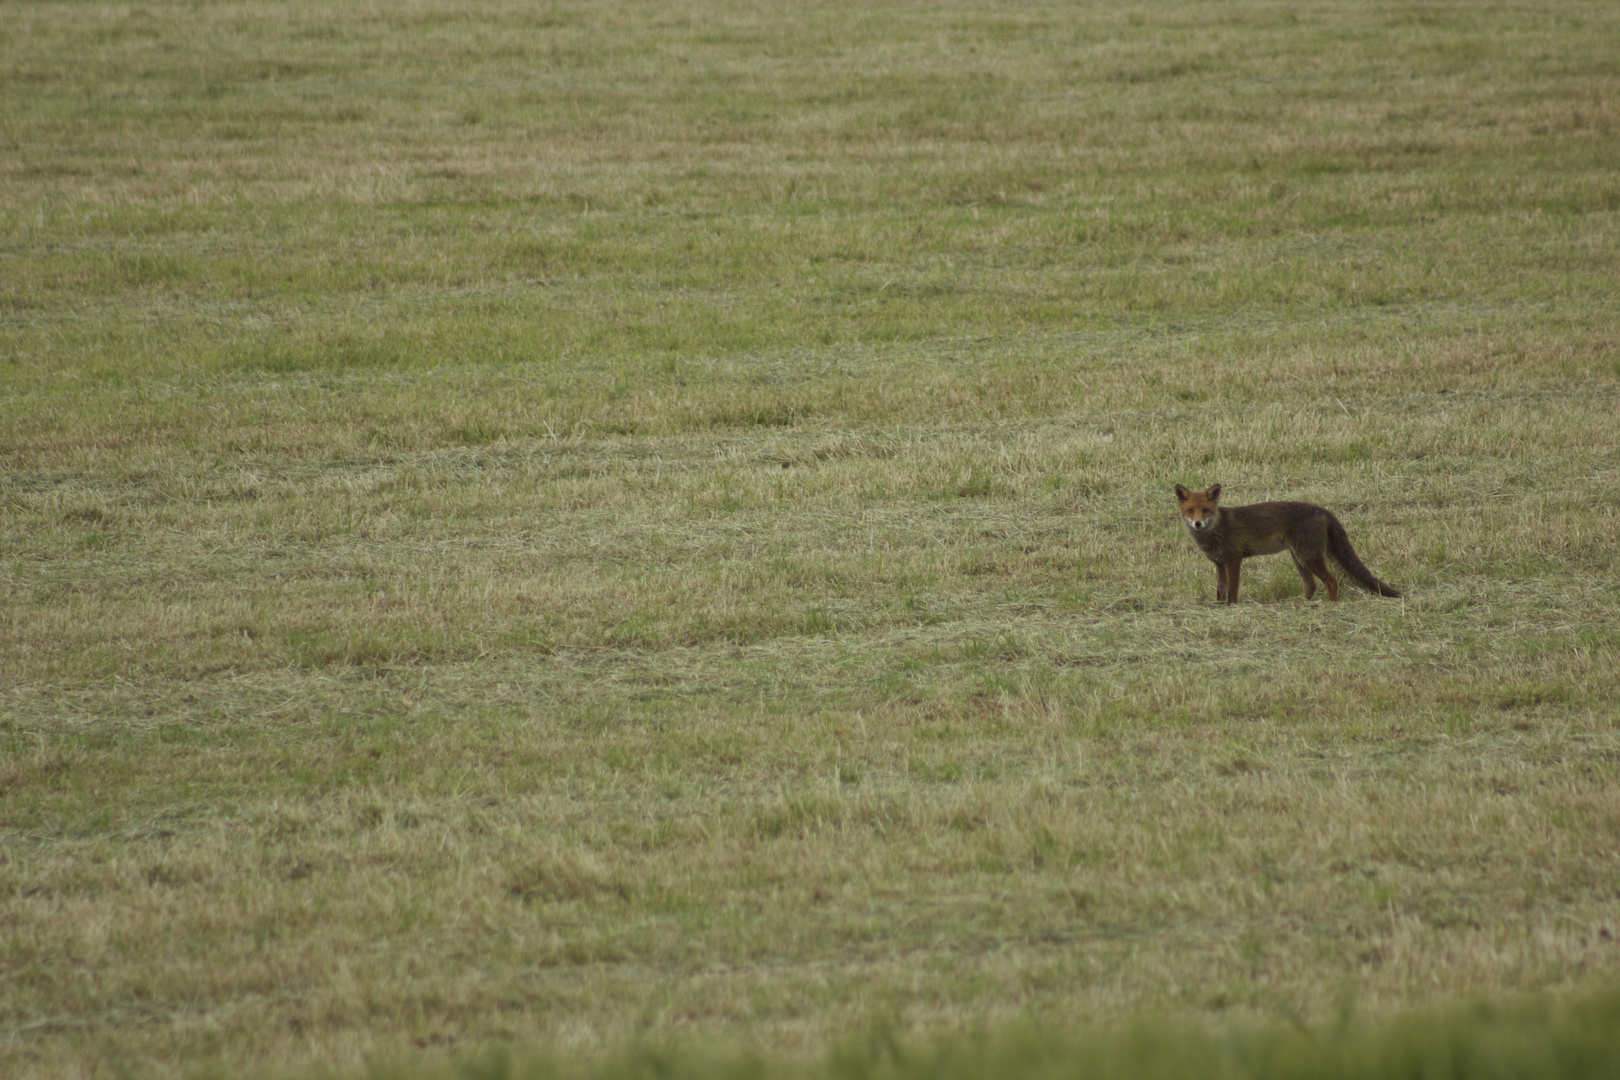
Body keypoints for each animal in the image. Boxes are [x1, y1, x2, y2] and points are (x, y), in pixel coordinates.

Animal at [1172, 482, 1399, 605]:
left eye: (1206, 510)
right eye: (1190, 511)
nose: (1198, 524)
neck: (1215, 532)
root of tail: (1321, 509)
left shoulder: (1234, 559)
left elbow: (1233, 591)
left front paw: (1233, 608)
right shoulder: (1220, 563)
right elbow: (1220, 591)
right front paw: (1219, 607)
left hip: (1308, 557)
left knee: (1331, 581)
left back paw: (1330, 605)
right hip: (1299, 558)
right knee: (1311, 585)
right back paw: (1302, 604)